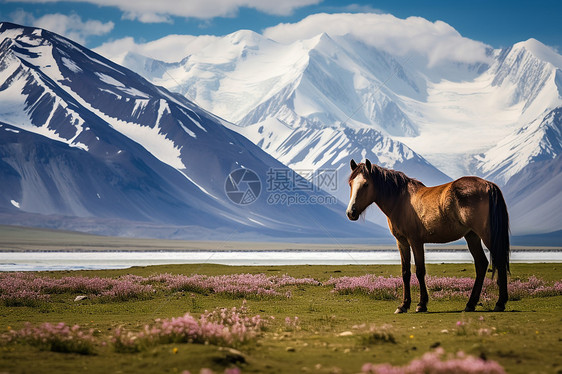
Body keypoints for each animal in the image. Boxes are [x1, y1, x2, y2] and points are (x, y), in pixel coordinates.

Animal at [346, 159, 508, 314]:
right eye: (350, 184)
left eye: (366, 184)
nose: (350, 212)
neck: (400, 201)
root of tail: (488, 185)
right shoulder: (402, 242)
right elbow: (405, 272)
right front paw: (404, 305)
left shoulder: (415, 241)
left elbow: (419, 271)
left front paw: (421, 304)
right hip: (472, 236)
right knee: (481, 264)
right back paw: (470, 304)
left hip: (486, 235)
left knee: (499, 260)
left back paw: (500, 303)